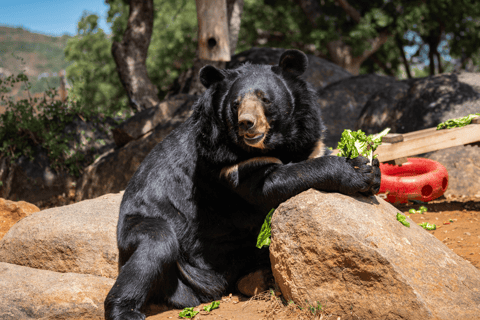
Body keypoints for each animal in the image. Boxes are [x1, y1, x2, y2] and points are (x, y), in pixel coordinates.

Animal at [103, 48, 380, 318]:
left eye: (265, 99)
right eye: (236, 104)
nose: (246, 123)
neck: (272, 143)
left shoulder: (307, 135)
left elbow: (313, 153)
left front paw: (371, 167)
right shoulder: (223, 159)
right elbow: (268, 185)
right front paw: (356, 172)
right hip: (141, 227)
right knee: (154, 247)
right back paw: (126, 311)